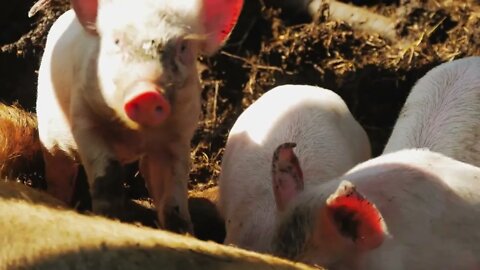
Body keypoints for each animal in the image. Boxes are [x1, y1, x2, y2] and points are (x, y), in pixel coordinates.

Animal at [35, 0, 244, 233]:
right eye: (117, 41)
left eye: (183, 47)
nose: (148, 94)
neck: (134, 136)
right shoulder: (85, 119)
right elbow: (107, 174)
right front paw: (109, 217)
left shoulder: (178, 136)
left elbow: (172, 193)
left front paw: (181, 232)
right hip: (48, 136)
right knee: (58, 170)